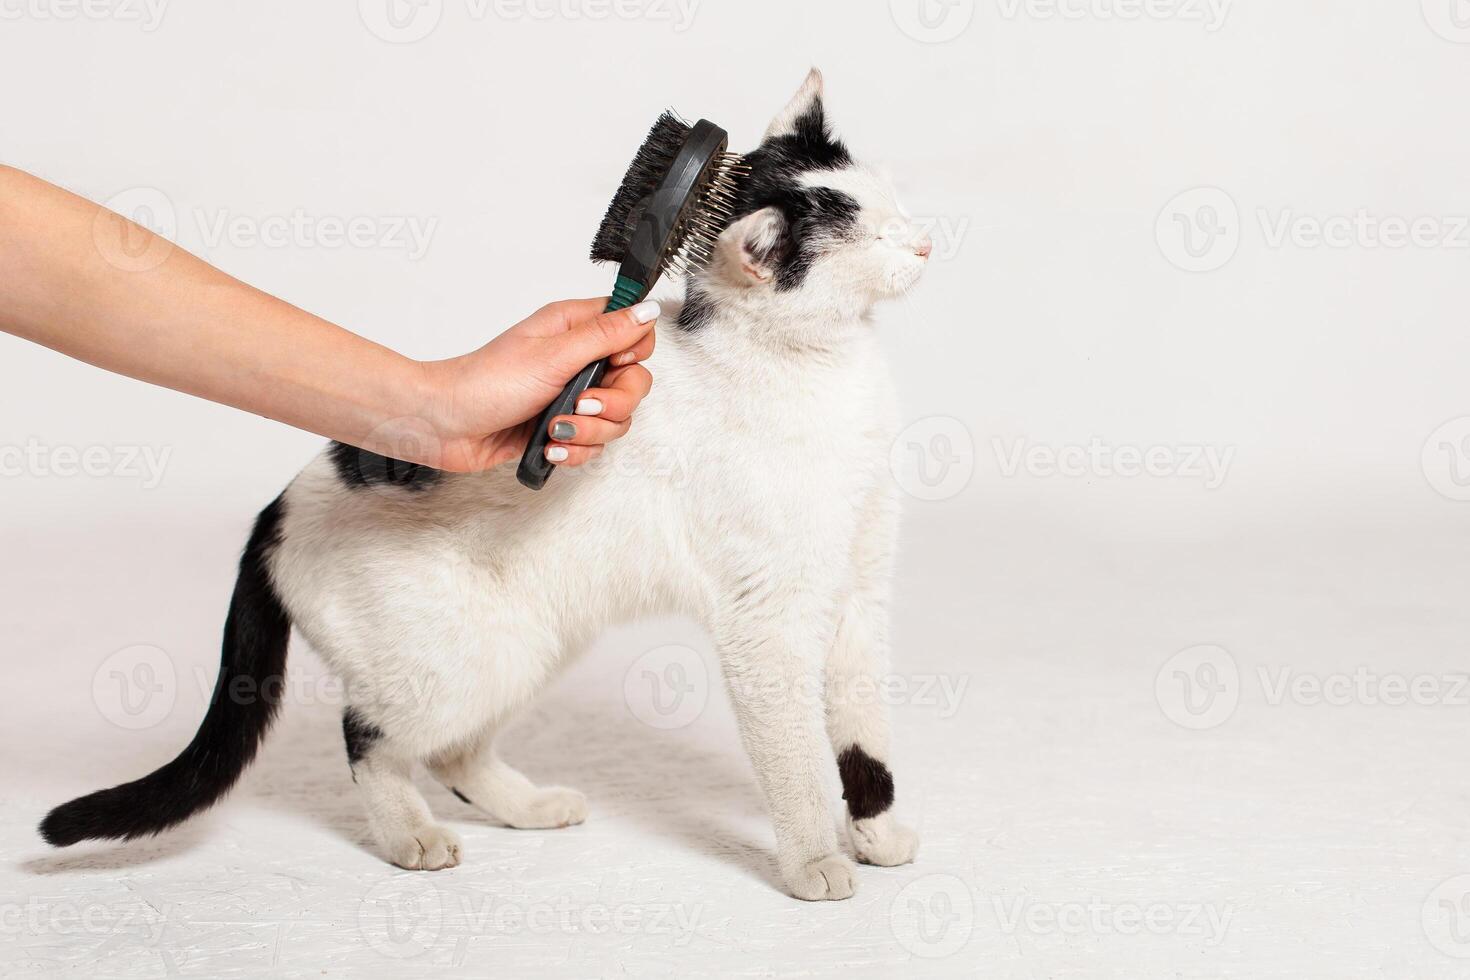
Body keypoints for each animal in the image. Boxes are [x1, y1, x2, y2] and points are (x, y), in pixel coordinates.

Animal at [48, 70, 940, 905]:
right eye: (875, 238)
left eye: (896, 206)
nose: (926, 245)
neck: (824, 368)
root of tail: (275, 511)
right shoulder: (768, 619)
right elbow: (796, 759)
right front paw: (814, 860)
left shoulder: (858, 589)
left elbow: (864, 733)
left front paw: (879, 832)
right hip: (456, 658)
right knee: (368, 736)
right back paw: (410, 836)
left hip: (528, 642)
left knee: (451, 749)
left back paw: (531, 807)